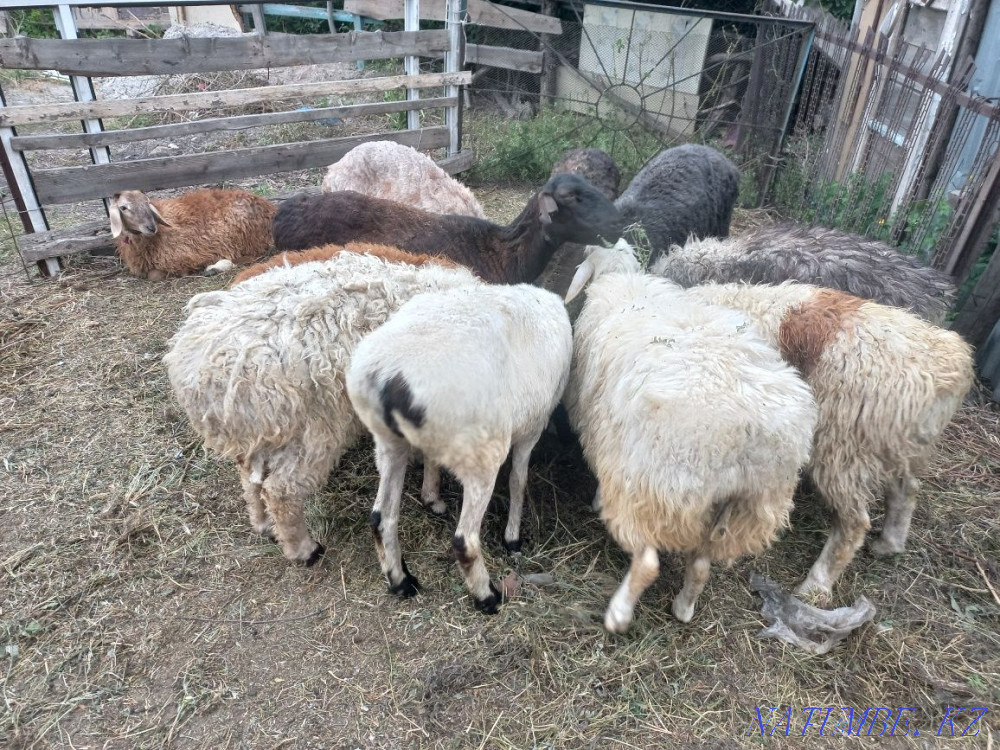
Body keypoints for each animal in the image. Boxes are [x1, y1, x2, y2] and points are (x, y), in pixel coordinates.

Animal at [110, 188, 276, 280]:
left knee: (250, 256)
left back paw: (213, 268)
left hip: (242, 233)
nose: (151, 227)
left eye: (147, 203)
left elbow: (155, 275)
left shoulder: (184, 255)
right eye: (123, 207)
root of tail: (270, 208)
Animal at [163, 246, 481, 565]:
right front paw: (432, 493)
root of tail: (204, 369)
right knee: (282, 490)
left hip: (260, 432)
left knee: (251, 480)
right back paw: (303, 550)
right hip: (315, 430)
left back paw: (263, 524)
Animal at [347, 284, 573, 613]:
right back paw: (487, 597)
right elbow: (518, 481)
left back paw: (401, 581)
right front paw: (513, 539)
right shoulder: (533, 427)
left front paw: (432, 497)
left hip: (389, 443)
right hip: (481, 454)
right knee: (464, 541)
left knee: (381, 518)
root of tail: (392, 377)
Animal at [563, 239, 817, 630]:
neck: (622, 277)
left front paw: (596, 500)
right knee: (700, 567)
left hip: (656, 489)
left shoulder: (613, 447)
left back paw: (619, 614)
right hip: (739, 511)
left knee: (647, 563)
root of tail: (747, 442)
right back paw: (683, 608)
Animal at [651, 254, 975, 602]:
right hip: (894, 443)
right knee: (907, 489)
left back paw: (815, 585)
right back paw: (889, 544)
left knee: (854, 522)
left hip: (843, 447)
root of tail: (944, 367)